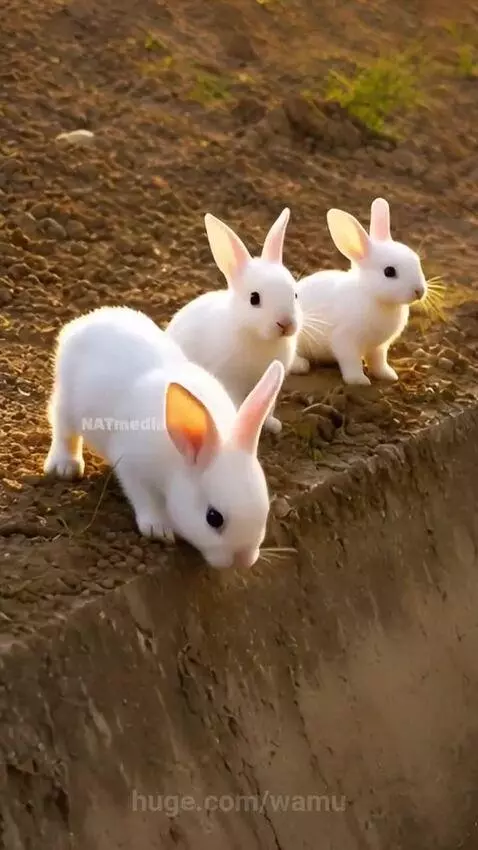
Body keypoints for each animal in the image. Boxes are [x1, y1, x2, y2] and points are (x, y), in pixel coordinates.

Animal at [43, 306, 285, 570]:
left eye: (265, 510)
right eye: (213, 518)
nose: (243, 561)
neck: (178, 465)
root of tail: (82, 323)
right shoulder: (132, 465)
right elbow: (143, 498)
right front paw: (158, 529)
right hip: (67, 405)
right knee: (63, 429)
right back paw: (65, 466)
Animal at [166, 208, 305, 435]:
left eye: (295, 295)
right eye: (254, 299)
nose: (285, 324)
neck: (256, 335)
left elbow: (268, 407)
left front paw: (273, 426)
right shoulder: (231, 382)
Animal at [291, 197, 427, 385]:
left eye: (417, 260)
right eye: (389, 271)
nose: (419, 291)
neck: (371, 295)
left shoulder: (379, 348)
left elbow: (378, 362)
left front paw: (388, 375)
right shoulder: (345, 341)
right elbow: (351, 362)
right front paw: (359, 380)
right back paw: (301, 365)